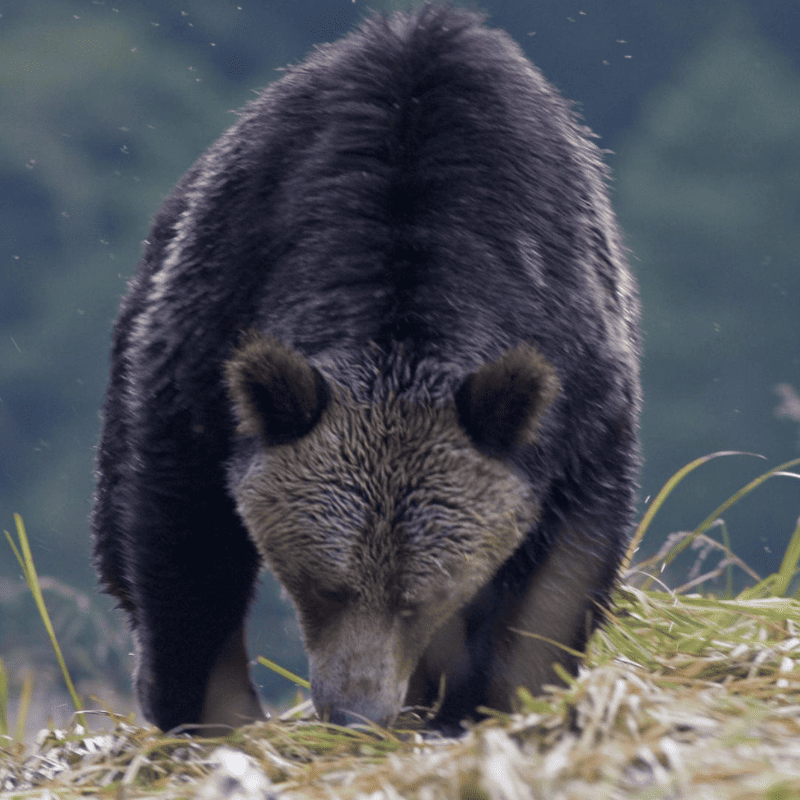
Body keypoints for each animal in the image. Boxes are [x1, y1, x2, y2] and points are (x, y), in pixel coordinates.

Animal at [92, 4, 641, 734]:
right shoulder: (215, 320)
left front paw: (493, 694)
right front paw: (205, 702)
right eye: (325, 584)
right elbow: (182, 528)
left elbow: (562, 562)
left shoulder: (575, 378)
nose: (356, 711)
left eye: (419, 596)